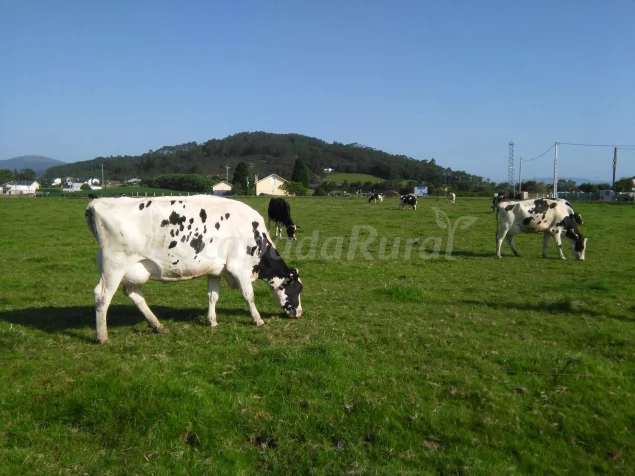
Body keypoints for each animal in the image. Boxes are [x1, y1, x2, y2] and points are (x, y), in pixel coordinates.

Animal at [85, 195, 303, 343]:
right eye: (298, 288)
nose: (299, 312)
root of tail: (96, 203)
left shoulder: (217, 270)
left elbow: (213, 296)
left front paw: (212, 321)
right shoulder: (239, 267)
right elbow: (249, 295)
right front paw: (258, 320)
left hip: (135, 269)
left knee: (134, 294)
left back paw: (157, 325)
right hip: (115, 265)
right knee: (102, 296)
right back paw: (102, 336)